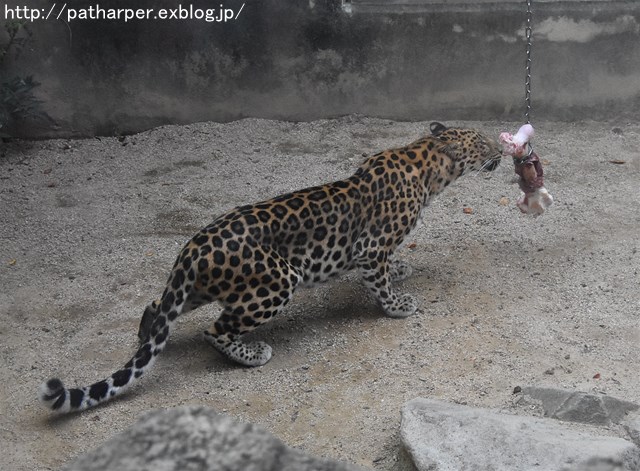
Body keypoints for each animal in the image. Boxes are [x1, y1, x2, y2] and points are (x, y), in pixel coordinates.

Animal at [40, 121, 502, 412]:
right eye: (482, 143)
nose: (501, 149)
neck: (424, 161)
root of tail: (192, 247)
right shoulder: (370, 248)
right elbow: (380, 283)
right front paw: (398, 306)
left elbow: (389, 267)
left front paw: (401, 270)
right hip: (277, 279)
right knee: (216, 329)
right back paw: (251, 354)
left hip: (199, 288)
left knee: (157, 306)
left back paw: (147, 337)